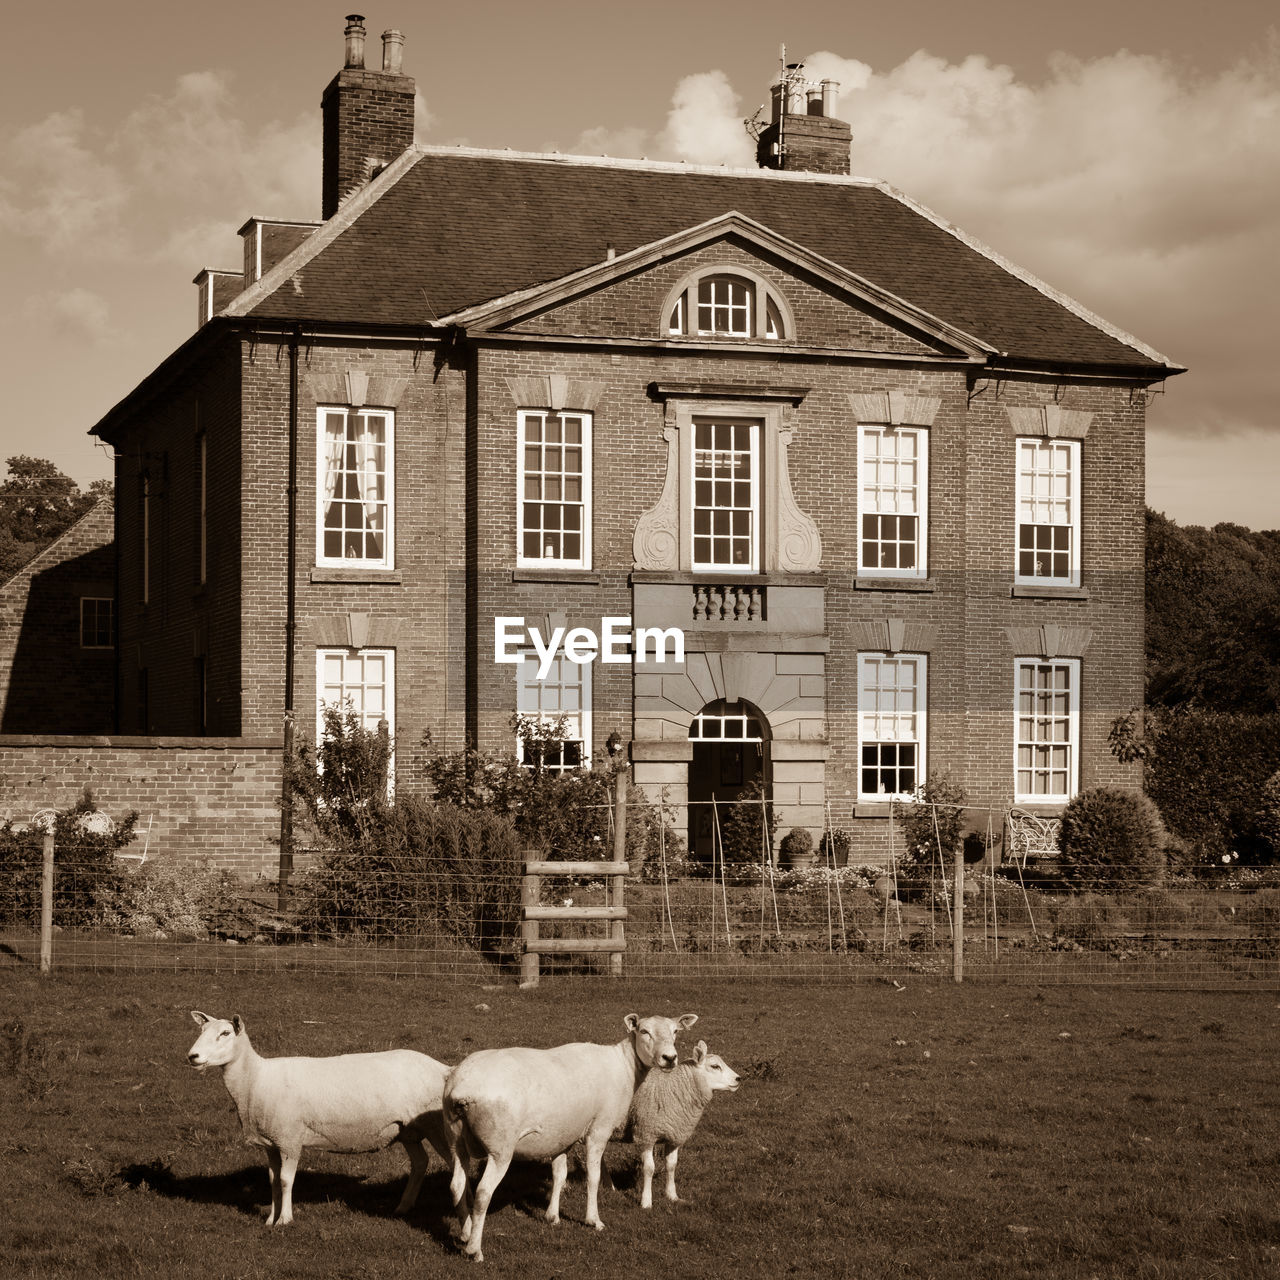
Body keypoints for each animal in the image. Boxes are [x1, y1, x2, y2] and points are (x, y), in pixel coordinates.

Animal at [186, 1008, 450, 1228]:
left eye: (225, 1033)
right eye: (202, 1031)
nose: (192, 1056)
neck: (255, 1080)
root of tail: (444, 1069)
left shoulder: (290, 1140)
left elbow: (285, 1180)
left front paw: (284, 1220)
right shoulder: (271, 1143)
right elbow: (272, 1181)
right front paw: (270, 1219)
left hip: (436, 1127)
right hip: (408, 1130)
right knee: (420, 1163)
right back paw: (403, 1207)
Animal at [442, 1013, 701, 1264]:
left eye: (675, 1031)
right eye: (644, 1031)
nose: (670, 1058)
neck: (624, 1067)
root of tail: (462, 1089)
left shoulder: (563, 1137)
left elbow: (560, 1176)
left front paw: (552, 1217)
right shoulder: (599, 1130)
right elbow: (593, 1178)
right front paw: (593, 1220)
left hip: (456, 1139)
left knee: (457, 1185)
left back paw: (465, 1233)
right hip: (500, 1148)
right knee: (483, 1192)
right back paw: (474, 1250)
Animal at [627, 1039, 742, 1208]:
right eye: (715, 1066)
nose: (738, 1079)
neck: (672, 1087)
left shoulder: (675, 1135)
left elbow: (671, 1165)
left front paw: (672, 1196)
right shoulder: (645, 1134)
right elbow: (649, 1169)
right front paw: (646, 1202)